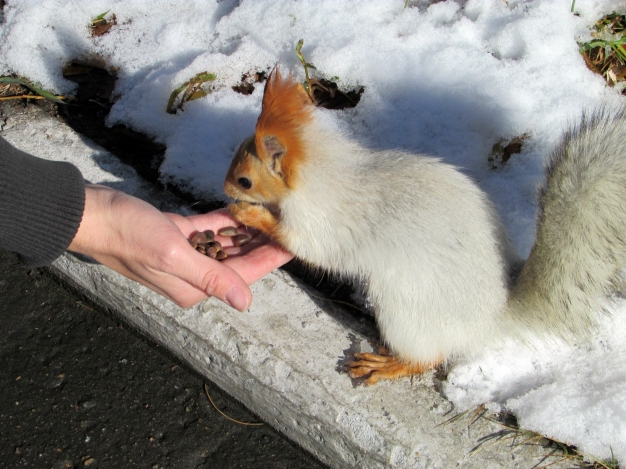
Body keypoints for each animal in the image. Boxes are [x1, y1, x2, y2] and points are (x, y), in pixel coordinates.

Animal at [222, 68, 624, 384]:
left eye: (245, 181)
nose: (224, 188)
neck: (322, 171)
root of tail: (492, 317)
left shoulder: (319, 222)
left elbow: (304, 245)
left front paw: (249, 215)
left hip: (405, 313)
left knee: (429, 357)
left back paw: (389, 365)